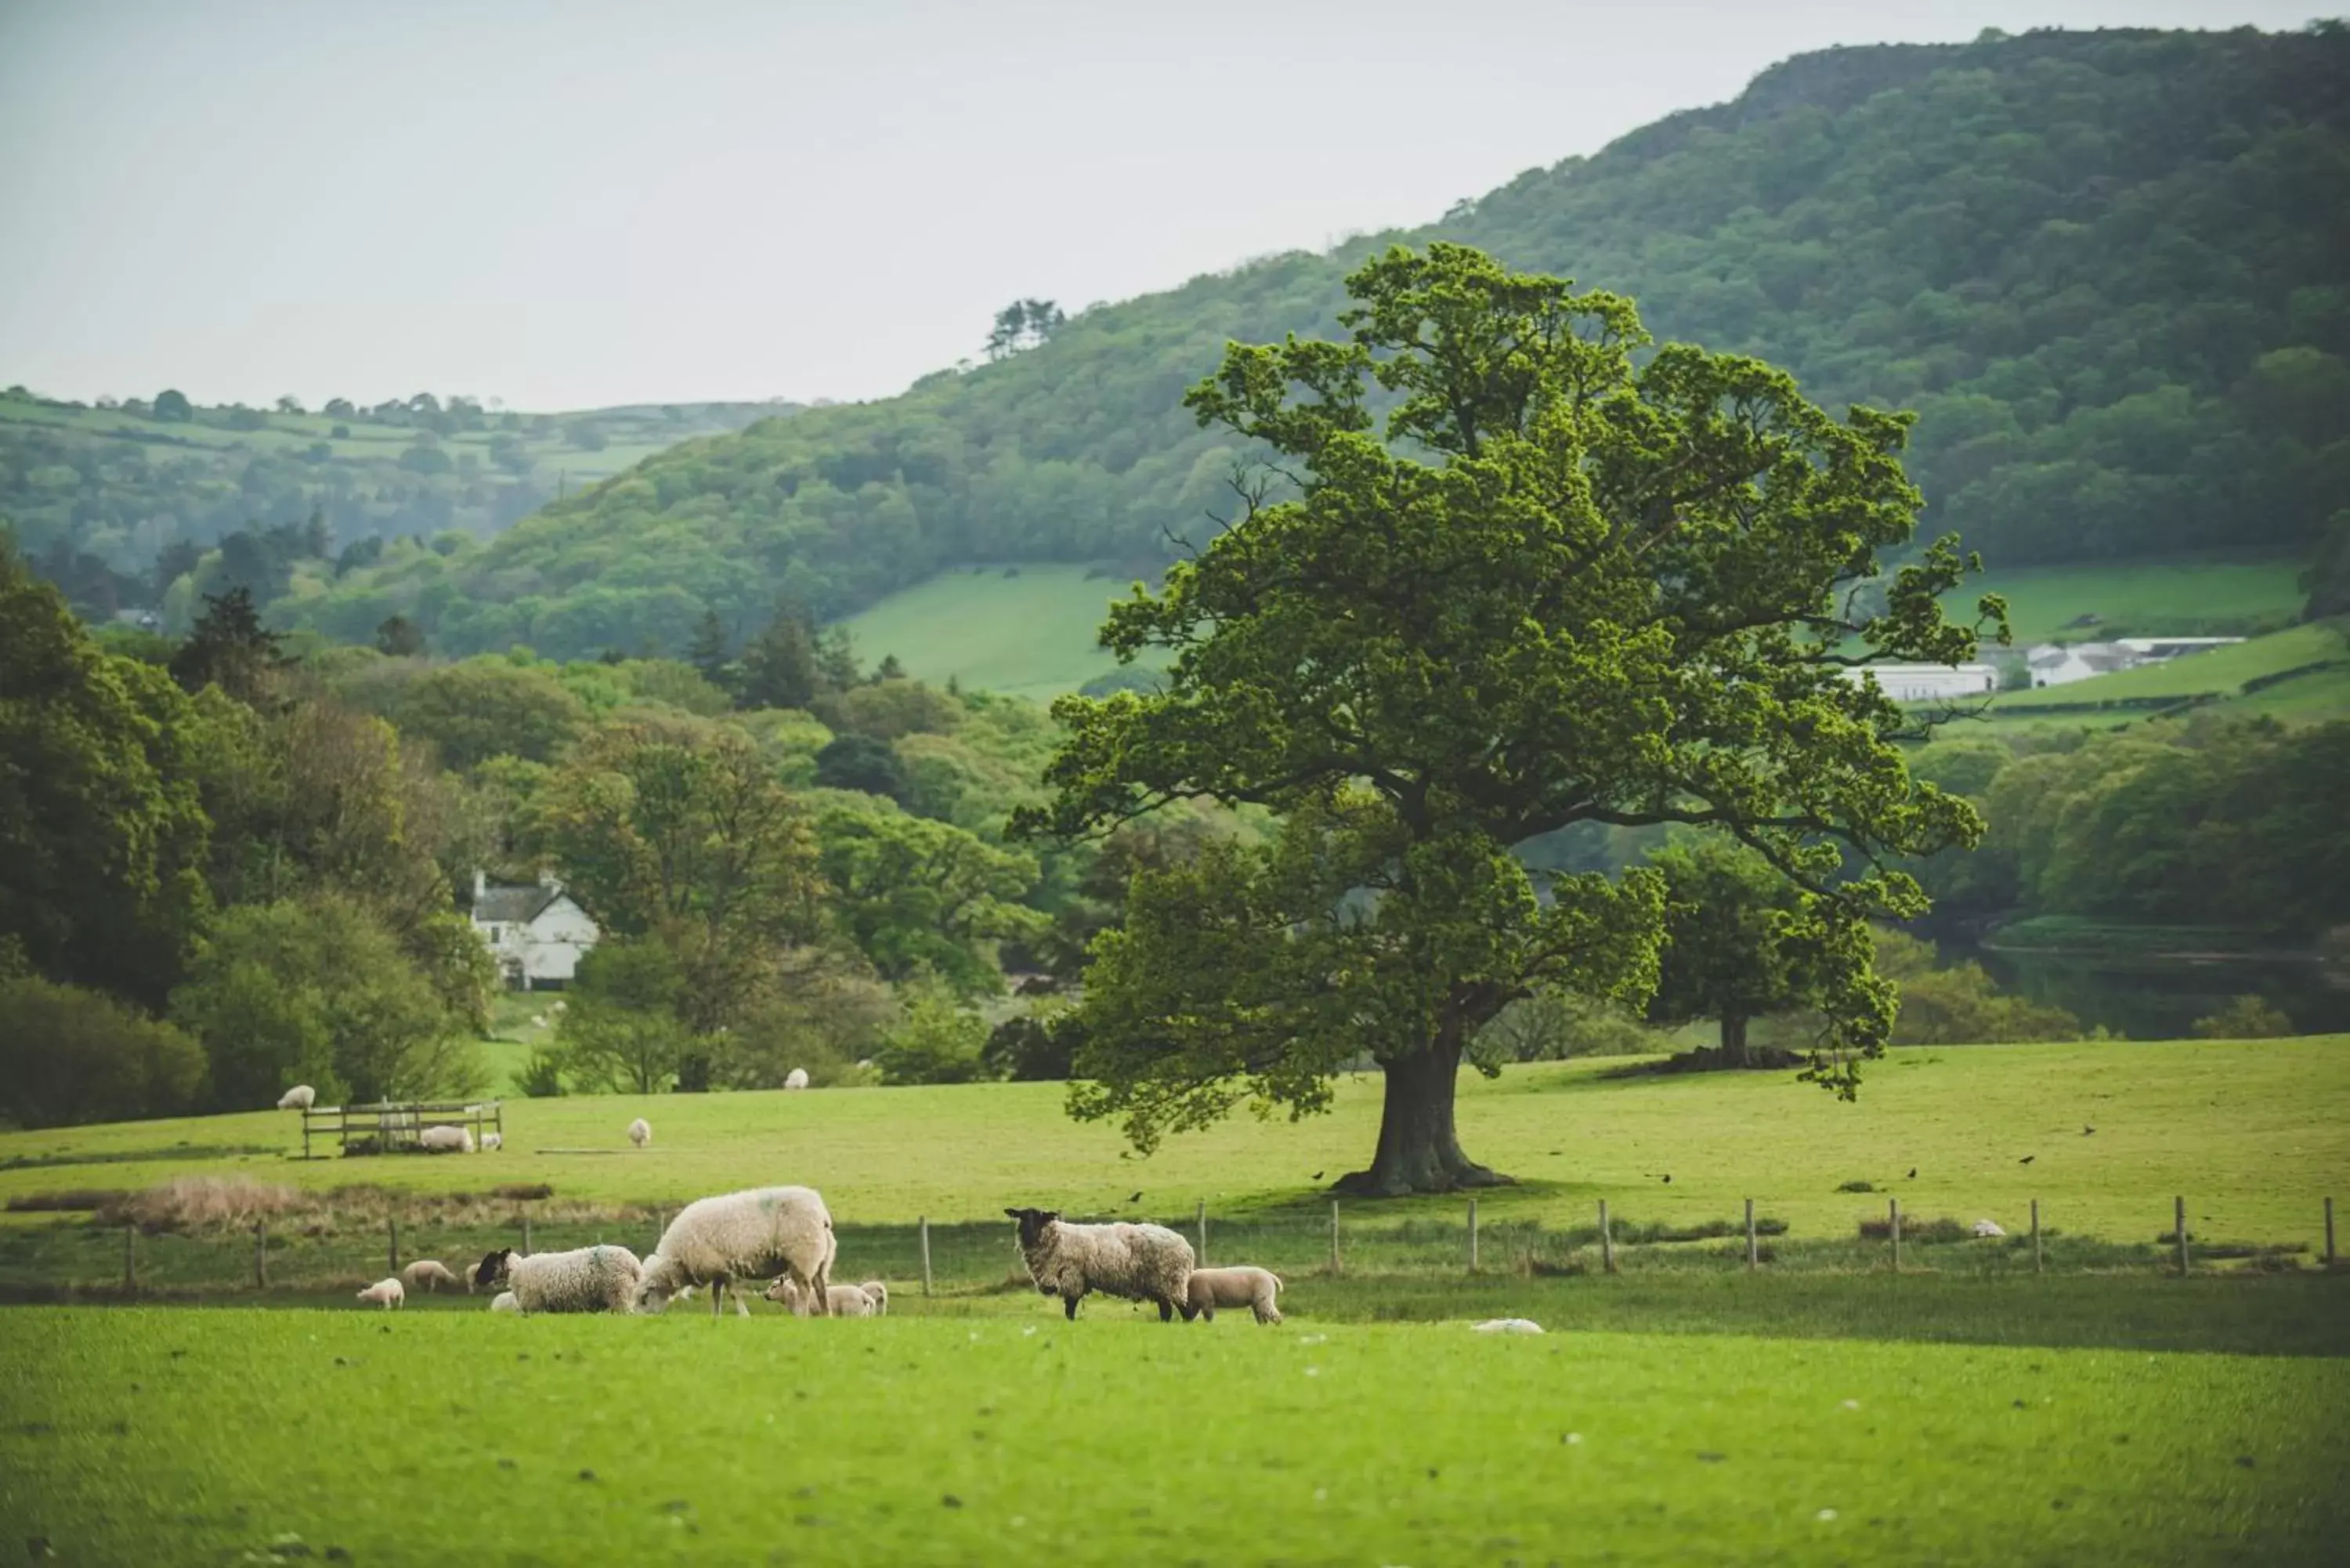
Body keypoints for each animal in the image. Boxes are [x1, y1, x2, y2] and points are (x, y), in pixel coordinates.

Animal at [470, 1241, 639, 1316]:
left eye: (490, 1262)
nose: (477, 1278)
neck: (517, 1270)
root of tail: (634, 1264)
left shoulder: (533, 1306)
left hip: (619, 1293)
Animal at [634, 1184, 837, 1316]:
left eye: (644, 1298)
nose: (640, 1320)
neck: (678, 1260)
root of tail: (821, 1212)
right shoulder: (716, 1268)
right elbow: (716, 1295)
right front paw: (716, 1316)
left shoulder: (722, 1268)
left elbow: (732, 1293)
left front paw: (744, 1315)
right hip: (821, 1259)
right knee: (821, 1288)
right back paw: (827, 1316)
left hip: (802, 1256)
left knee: (804, 1289)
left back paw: (801, 1316)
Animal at [1006, 1212, 1194, 1316]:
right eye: (1021, 1217)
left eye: (1039, 1218)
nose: (1028, 1235)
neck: (1058, 1238)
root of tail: (1187, 1247)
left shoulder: (1072, 1278)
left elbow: (1070, 1309)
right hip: (1161, 1285)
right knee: (1167, 1312)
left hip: (1172, 1280)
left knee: (1185, 1310)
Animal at [1175, 1259, 1288, 1325]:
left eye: (1182, 1307)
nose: (1185, 1322)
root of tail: (1270, 1276)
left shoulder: (1206, 1301)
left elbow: (1209, 1317)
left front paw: (1209, 1326)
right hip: (1257, 1301)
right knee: (1261, 1315)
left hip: (1263, 1296)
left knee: (1270, 1312)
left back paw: (1278, 1325)